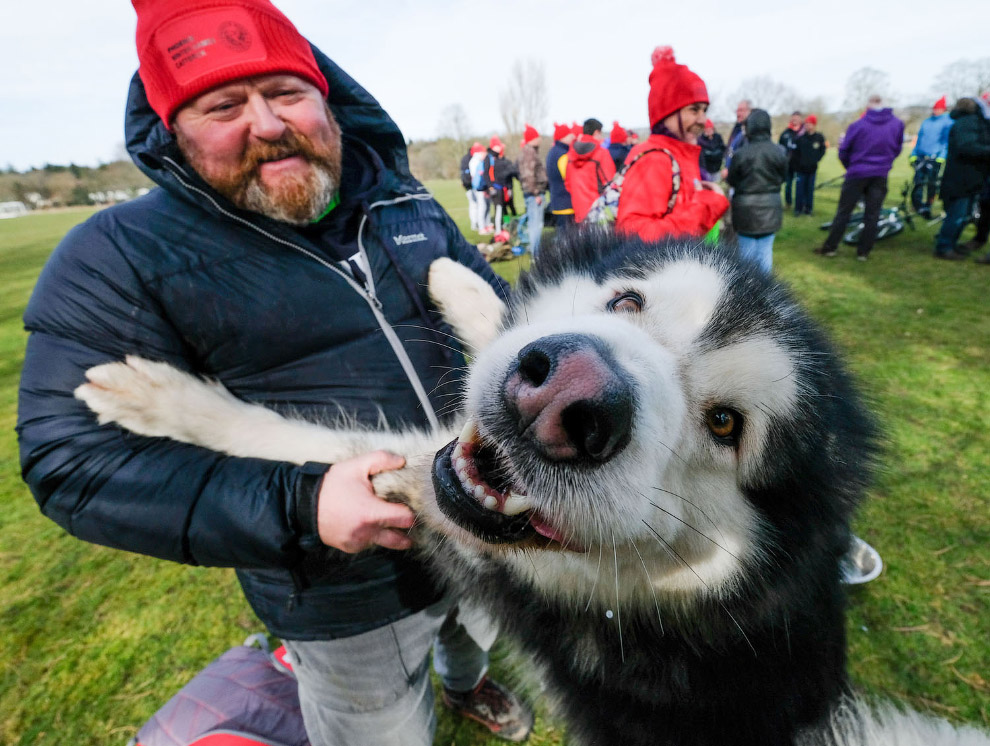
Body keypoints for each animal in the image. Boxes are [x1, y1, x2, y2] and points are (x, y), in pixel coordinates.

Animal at [79, 232, 990, 744]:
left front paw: (158, 400)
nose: (565, 400)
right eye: (625, 301)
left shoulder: (446, 524)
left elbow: (314, 440)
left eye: (728, 425)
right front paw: (461, 284)